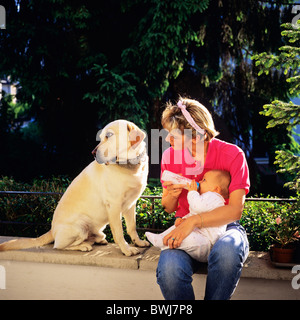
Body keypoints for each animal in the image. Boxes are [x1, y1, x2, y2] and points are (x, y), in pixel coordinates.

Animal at [0, 119, 150, 256]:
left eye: (109, 135)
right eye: (101, 137)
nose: (93, 153)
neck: (131, 166)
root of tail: (52, 230)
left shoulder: (131, 204)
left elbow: (132, 227)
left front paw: (138, 242)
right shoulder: (113, 205)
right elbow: (119, 232)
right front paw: (126, 249)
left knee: (92, 237)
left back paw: (98, 239)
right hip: (81, 226)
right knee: (59, 246)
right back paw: (83, 246)